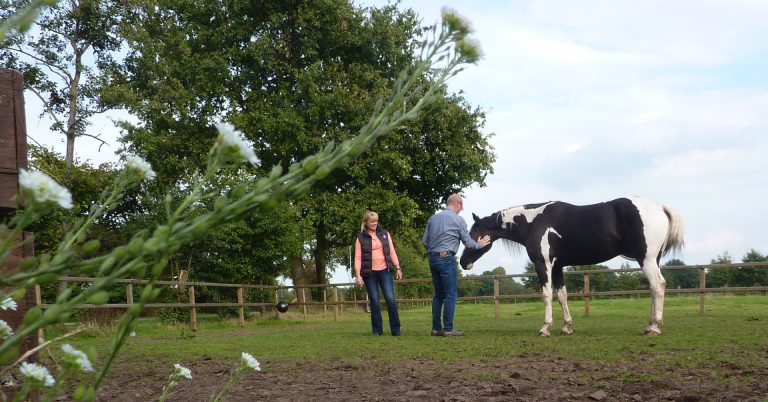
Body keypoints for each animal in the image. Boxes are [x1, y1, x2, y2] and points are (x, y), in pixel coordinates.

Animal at [460, 197, 688, 336]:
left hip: (646, 259)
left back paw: (654, 327)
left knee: (658, 286)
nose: (463, 262)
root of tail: (660, 207)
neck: (534, 222)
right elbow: (562, 296)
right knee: (654, 289)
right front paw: (567, 327)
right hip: (652, 260)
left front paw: (545, 328)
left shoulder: (543, 265)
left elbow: (546, 295)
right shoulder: (558, 267)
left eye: (473, 233)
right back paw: (650, 325)